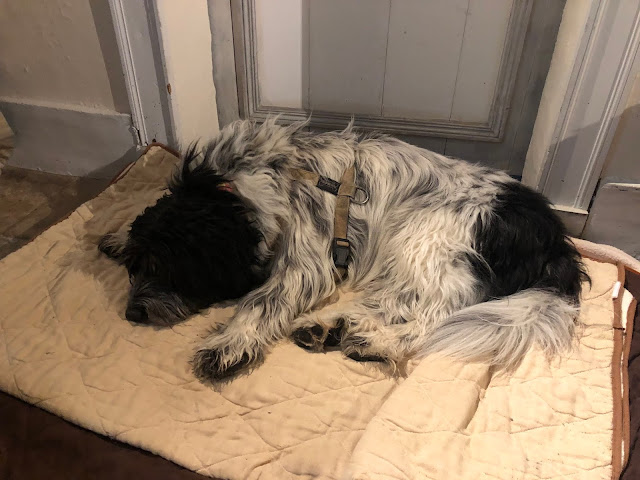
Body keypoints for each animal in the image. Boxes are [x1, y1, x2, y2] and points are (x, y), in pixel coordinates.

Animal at [99, 119, 588, 381]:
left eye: (168, 268)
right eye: (137, 267)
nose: (132, 313)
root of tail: (554, 239)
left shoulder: (304, 263)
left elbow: (258, 302)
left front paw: (229, 344)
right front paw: (118, 236)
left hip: (425, 236)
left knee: (433, 317)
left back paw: (368, 338)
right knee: (406, 305)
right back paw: (336, 328)